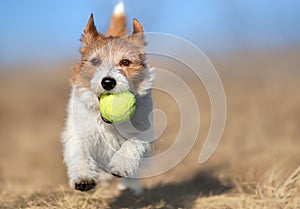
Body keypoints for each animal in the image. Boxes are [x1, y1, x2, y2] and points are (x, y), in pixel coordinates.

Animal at [61, 1, 155, 195]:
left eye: (125, 62)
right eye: (95, 61)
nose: (108, 82)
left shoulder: (143, 131)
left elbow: (133, 143)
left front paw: (121, 166)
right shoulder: (79, 132)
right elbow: (79, 152)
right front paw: (83, 177)